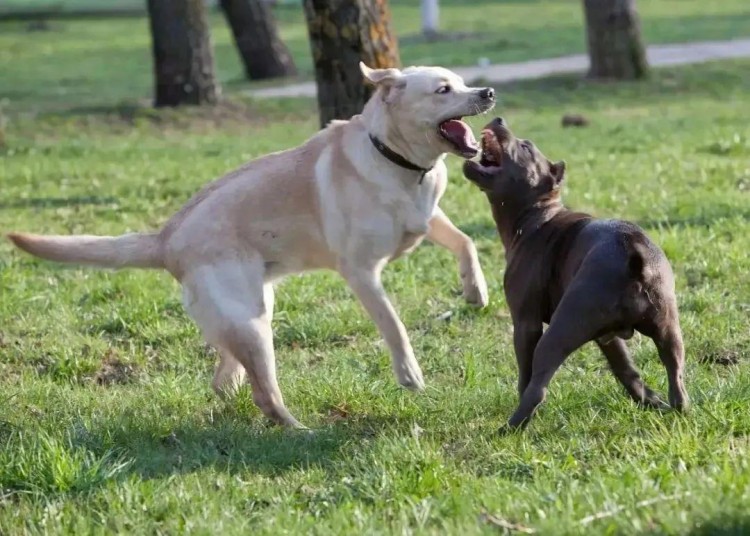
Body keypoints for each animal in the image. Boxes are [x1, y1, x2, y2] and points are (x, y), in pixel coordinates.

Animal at [468, 118, 692, 432]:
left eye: (525, 147)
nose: (499, 119)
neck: (536, 213)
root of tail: (632, 251)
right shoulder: (607, 337)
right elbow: (626, 368)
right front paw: (648, 400)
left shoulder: (525, 324)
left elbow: (525, 376)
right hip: (668, 329)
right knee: (676, 374)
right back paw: (675, 408)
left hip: (558, 333)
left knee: (537, 387)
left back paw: (511, 427)